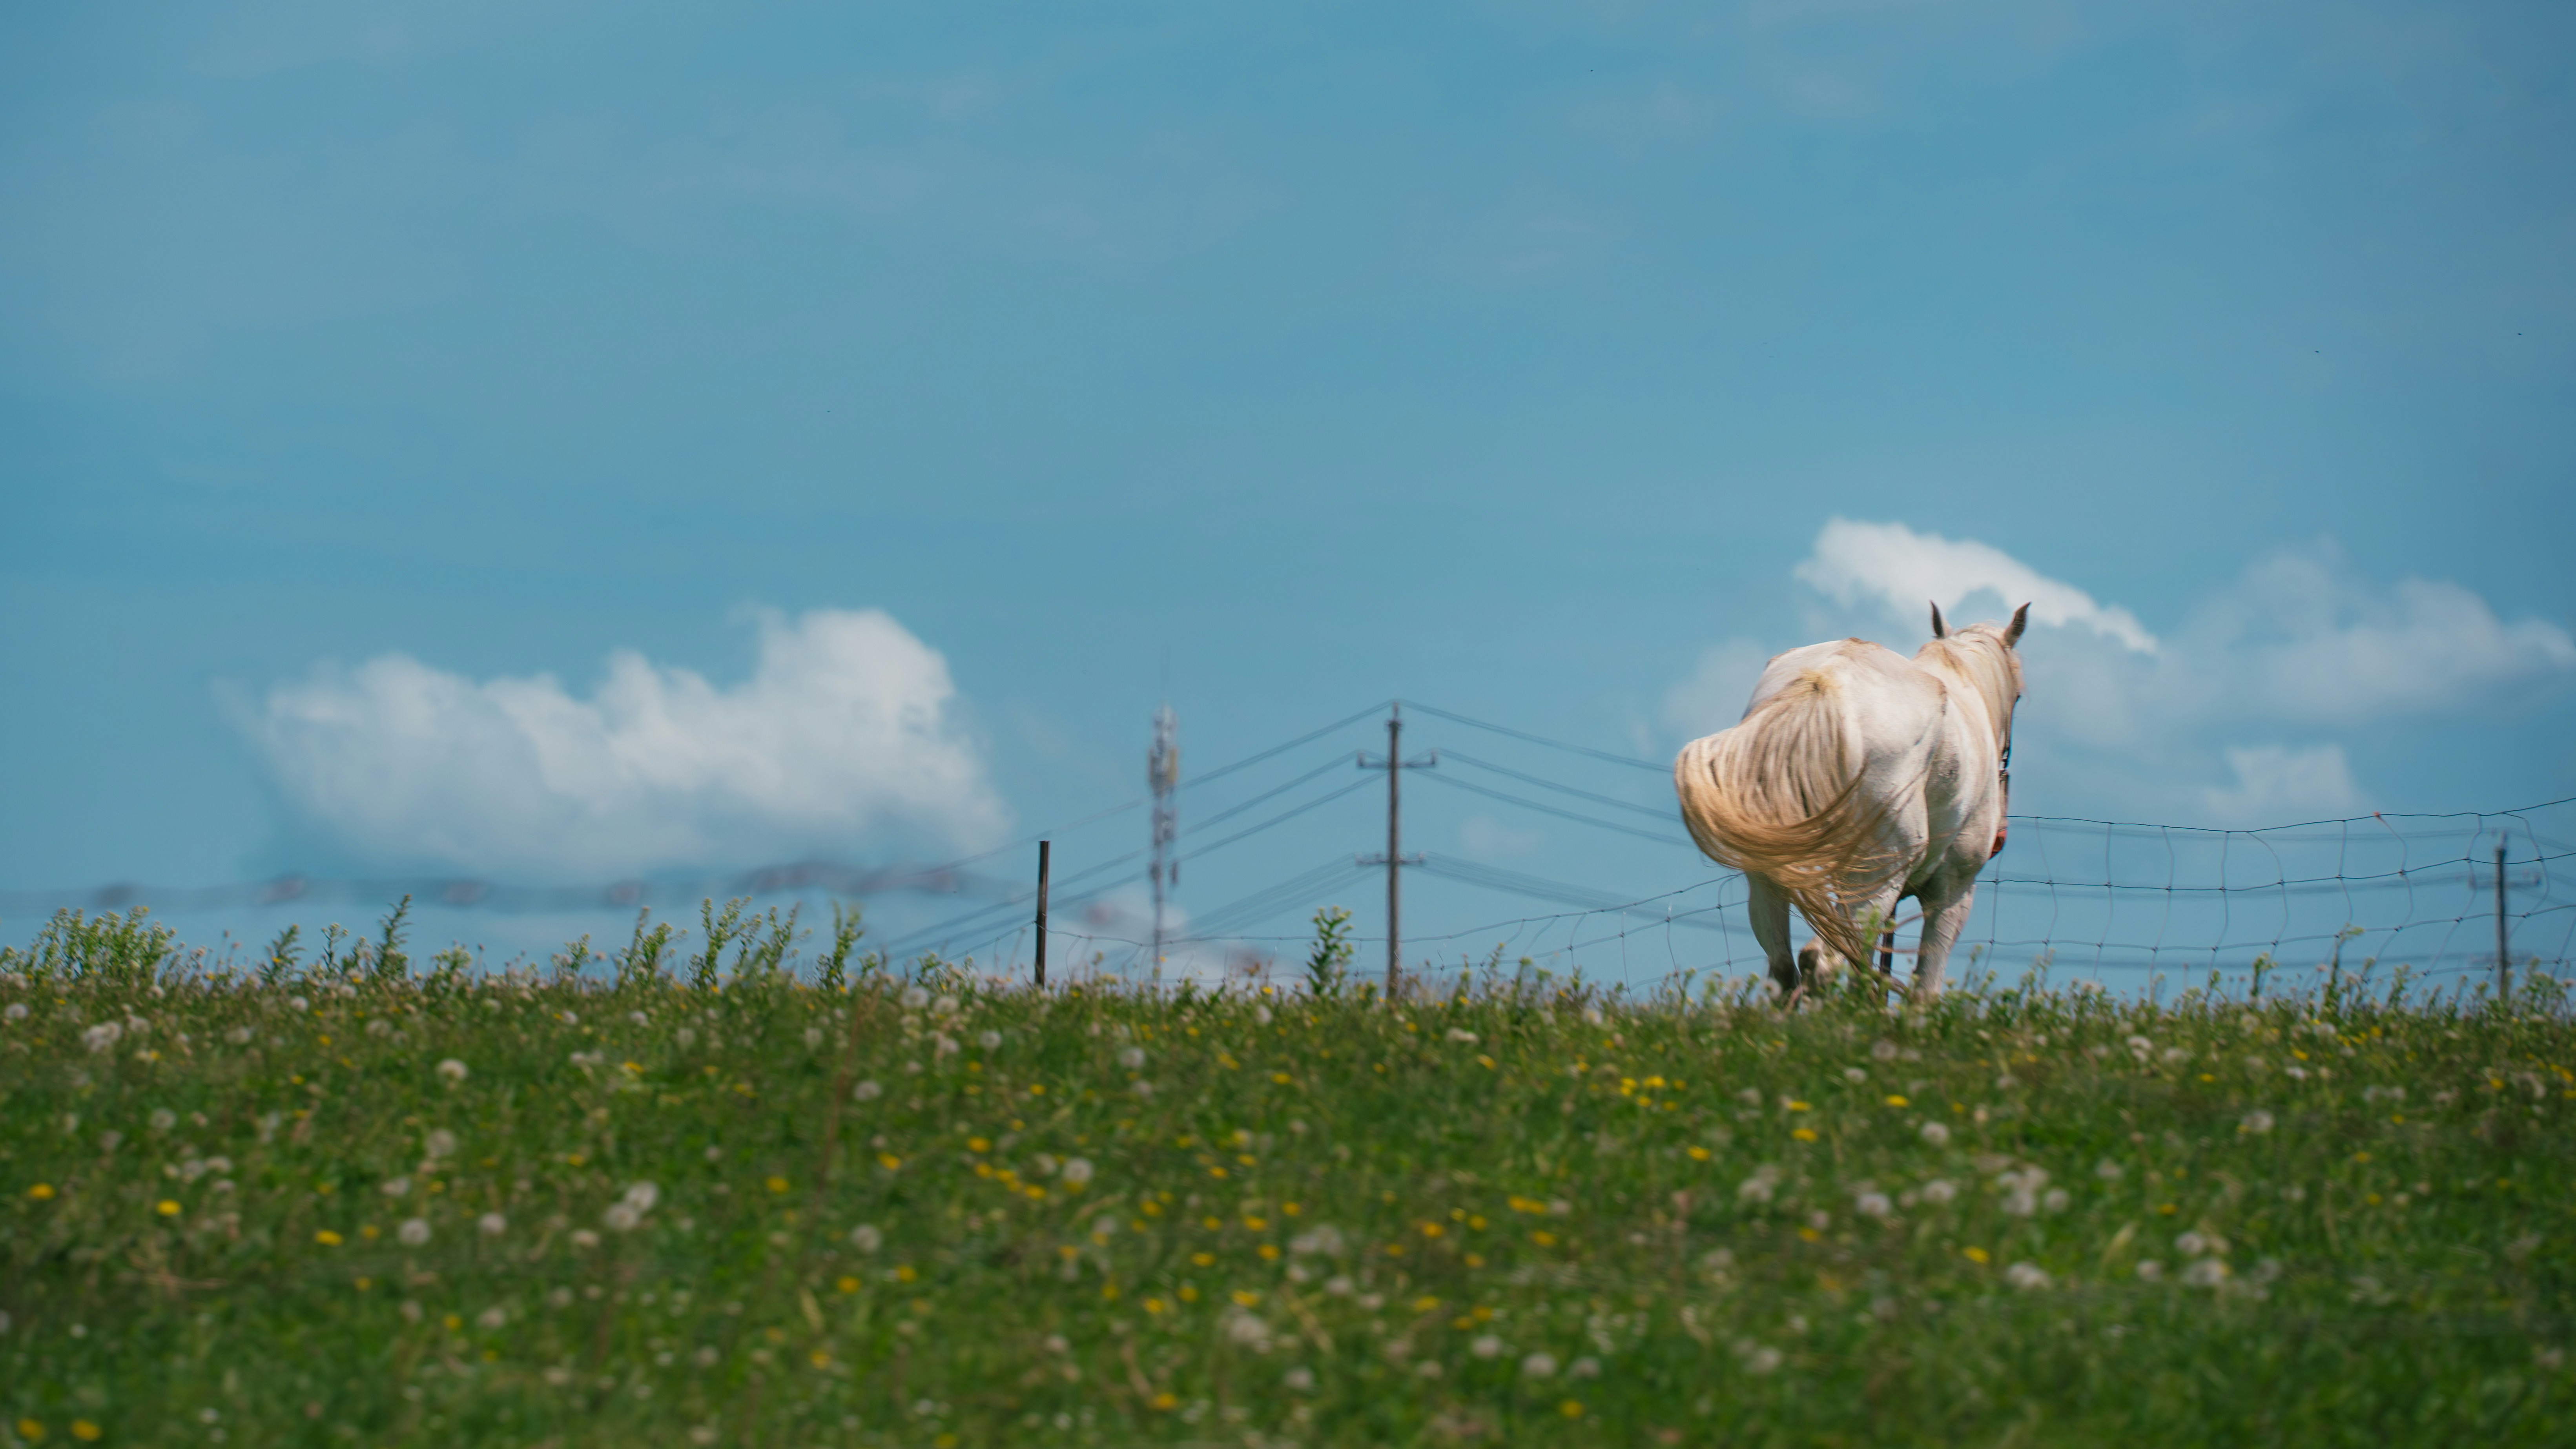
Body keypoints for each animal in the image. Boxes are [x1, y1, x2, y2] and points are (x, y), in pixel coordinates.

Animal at [1673, 602, 2026, 1001]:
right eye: (2017, 697)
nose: (2000, 837)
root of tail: (1826, 683)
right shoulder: (1953, 890)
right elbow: (1923, 989)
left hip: (1769, 876)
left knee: (1784, 968)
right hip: (1875, 882)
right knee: (1823, 963)